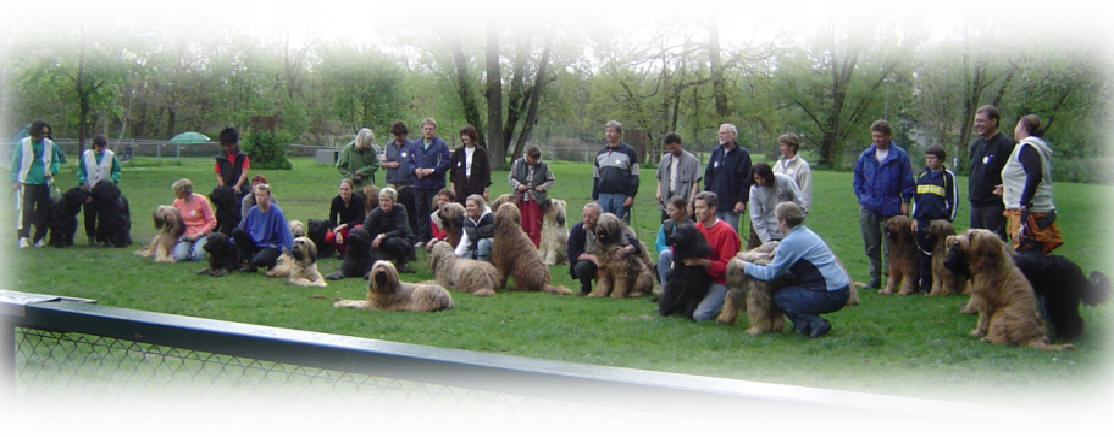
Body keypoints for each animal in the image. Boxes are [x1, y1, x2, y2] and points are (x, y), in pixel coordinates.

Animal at [944, 230, 1073, 350]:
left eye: (971, 236)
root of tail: (1034, 339)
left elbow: (983, 319)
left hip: (1001, 314)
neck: (990, 265)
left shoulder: (985, 300)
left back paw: (988, 339)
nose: (955, 242)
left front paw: (977, 332)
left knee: (1004, 341)